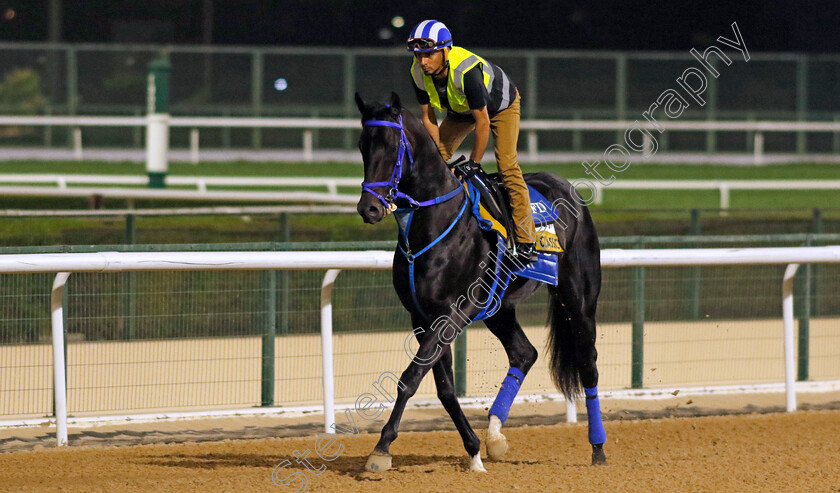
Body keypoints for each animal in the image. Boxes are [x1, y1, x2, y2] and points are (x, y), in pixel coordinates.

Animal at [354, 92, 604, 472]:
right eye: (362, 146)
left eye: (392, 145)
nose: (368, 208)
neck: (434, 224)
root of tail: (567, 188)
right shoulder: (422, 316)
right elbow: (442, 387)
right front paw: (473, 450)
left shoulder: (453, 312)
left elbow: (410, 378)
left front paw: (381, 449)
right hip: (498, 307)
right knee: (524, 353)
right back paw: (495, 436)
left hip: (578, 297)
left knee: (588, 365)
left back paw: (598, 448)